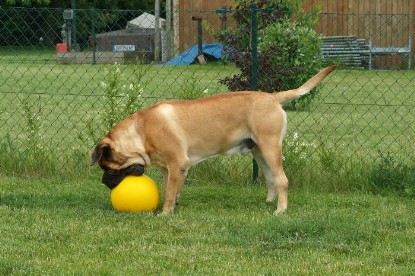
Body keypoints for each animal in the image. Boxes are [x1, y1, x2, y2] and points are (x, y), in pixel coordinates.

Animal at [92, 66, 338, 215]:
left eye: (109, 168)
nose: (104, 182)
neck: (140, 131)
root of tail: (272, 97)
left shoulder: (178, 163)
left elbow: (169, 192)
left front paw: (165, 213)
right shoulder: (168, 167)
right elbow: (171, 187)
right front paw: (173, 203)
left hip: (270, 148)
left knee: (282, 180)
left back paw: (281, 210)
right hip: (259, 151)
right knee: (271, 179)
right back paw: (269, 201)